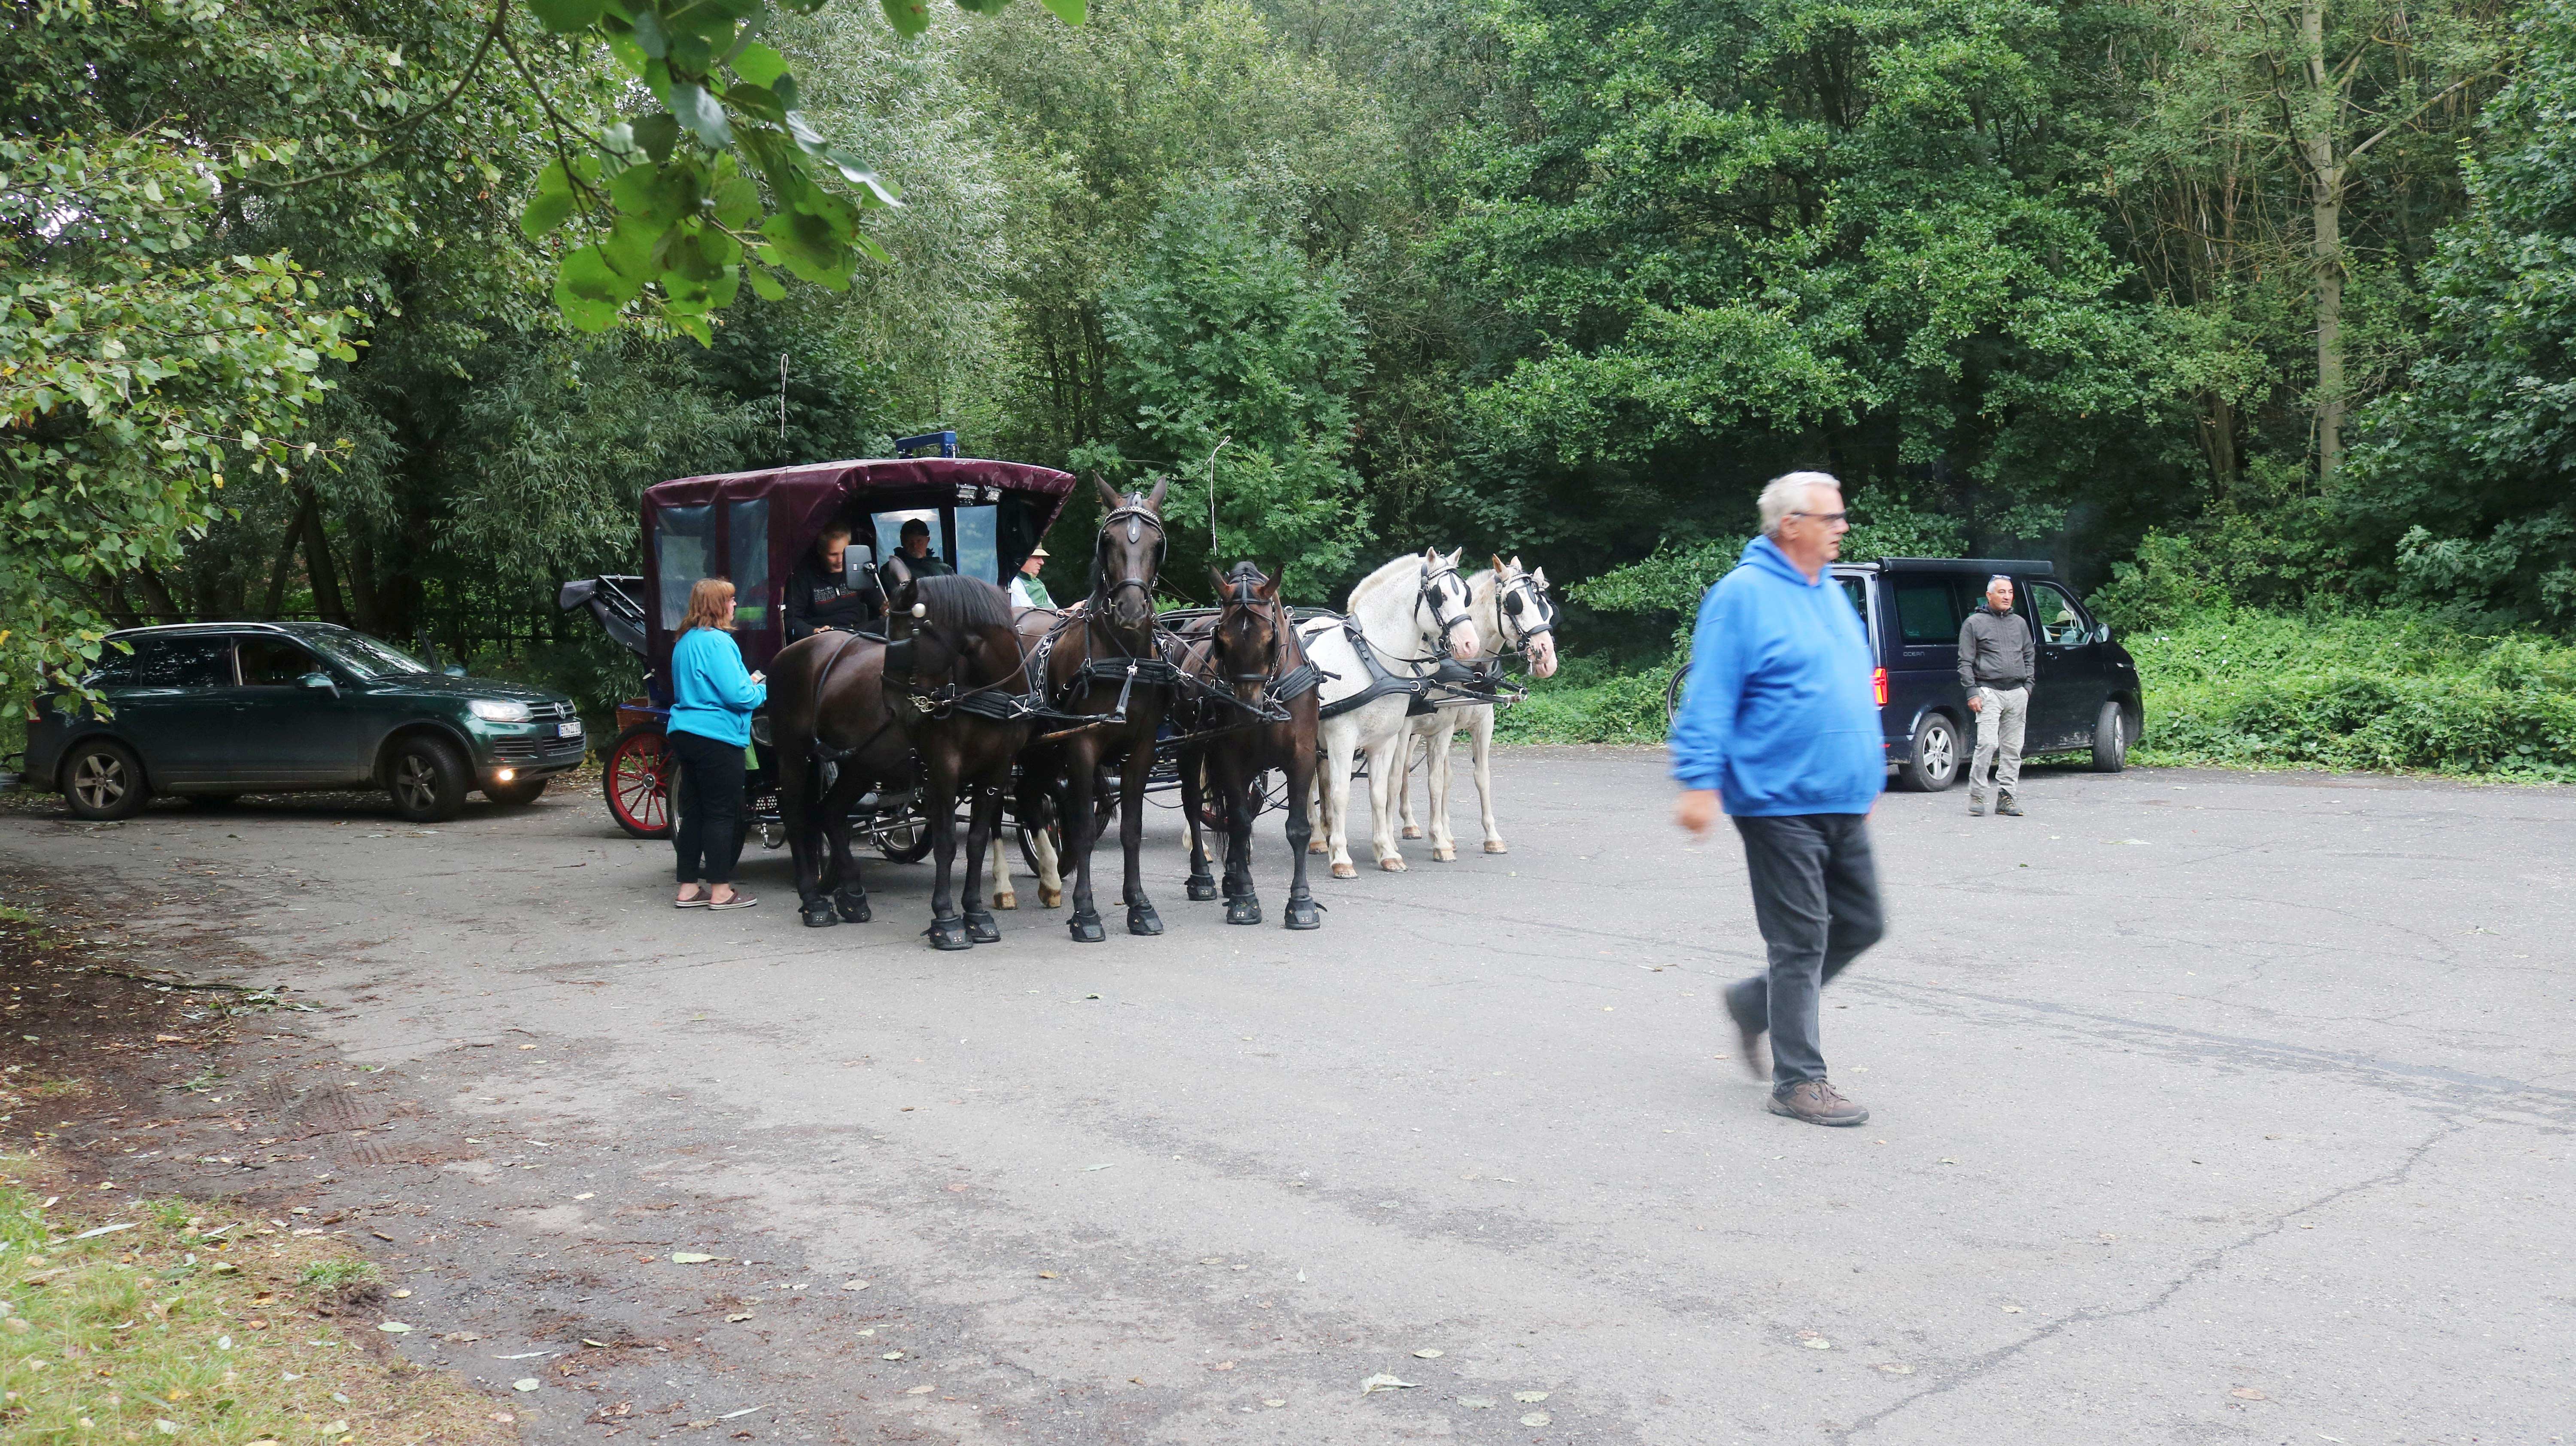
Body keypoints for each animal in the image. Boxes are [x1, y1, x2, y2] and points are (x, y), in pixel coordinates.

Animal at [1025, 477, 1185, 938]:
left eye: (1156, 543)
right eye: (1108, 540)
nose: (1131, 609)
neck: (1125, 659)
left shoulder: (1143, 748)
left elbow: (1132, 828)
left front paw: (1140, 905)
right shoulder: (1081, 747)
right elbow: (1080, 831)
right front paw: (1085, 912)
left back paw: (1045, 880)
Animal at [1175, 559, 1319, 928]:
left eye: (1270, 638)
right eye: (1222, 640)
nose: (1247, 710)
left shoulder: (1302, 759)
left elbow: (1298, 829)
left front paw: (1301, 903)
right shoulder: (1231, 759)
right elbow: (1240, 823)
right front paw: (1245, 899)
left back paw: (1231, 876)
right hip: (1190, 748)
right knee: (1195, 804)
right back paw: (1204, 879)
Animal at [1298, 546, 1484, 876]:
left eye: (1465, 595)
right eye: (1439, 596)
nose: (1469, 644)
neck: (1371, 661)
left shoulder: (1384, 741)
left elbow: (1380, 792)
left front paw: (1387, 852)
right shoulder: (1343, 738)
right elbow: (1341, 794)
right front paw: (1341, 858)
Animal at [1401, 559, 1556, 856]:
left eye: (1546, 608)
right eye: (1515, 604)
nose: (1547, 659)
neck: (1468, 669)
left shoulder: (1483, 725)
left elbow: (1481, 776)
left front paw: (1491, 837)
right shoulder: (1446, 724)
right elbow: (1444, 778)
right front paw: (1445, 836)